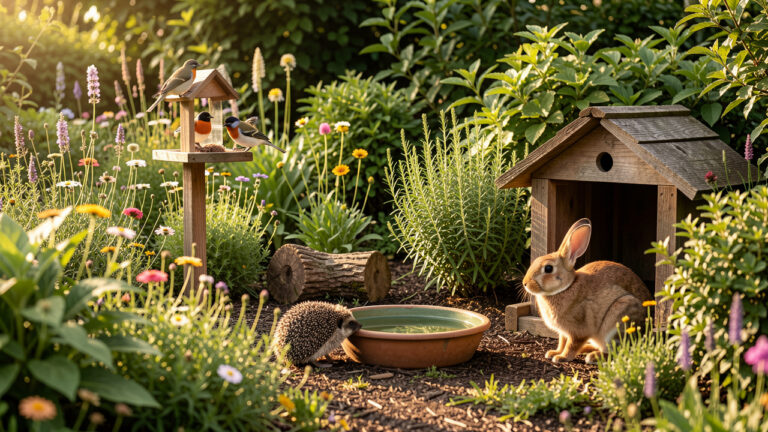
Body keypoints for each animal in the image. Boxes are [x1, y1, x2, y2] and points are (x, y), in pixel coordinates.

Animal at [522, 218, 652, 364]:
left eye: (548, 268)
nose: (525, 283)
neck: (566, 287)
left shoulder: (579, 330)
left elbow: (571, 345)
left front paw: (562, 357)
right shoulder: (564, 332)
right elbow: (562, 342)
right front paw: (554, 352)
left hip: (619, 319)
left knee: (617, 351)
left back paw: (594, 356)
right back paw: (586, 349)